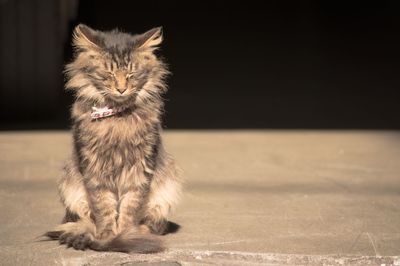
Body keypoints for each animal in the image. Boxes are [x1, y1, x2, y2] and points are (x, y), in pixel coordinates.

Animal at [47, 24, 183, 254]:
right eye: (108, 73)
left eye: (131, 74)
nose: (121, 88)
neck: (118, 118)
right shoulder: (94, 170)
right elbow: (104, 209)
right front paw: (109, 237)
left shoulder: (140, 169)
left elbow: (129, 210)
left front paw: (127, 236)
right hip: (71, 189)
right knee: (81, 221)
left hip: (167, 188)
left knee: (155, 224)